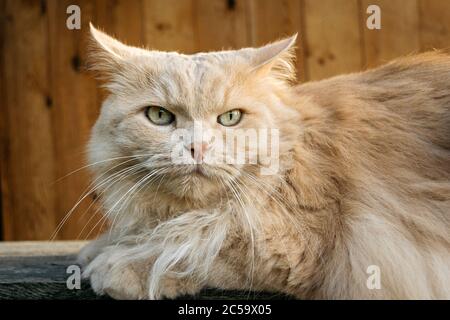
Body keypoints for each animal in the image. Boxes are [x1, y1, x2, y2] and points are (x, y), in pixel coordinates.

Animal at [79, 23, 450, 300]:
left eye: (230, 118)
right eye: (159, 116)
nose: (197, 146)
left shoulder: (300, 248)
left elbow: (197, 246)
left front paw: (119, 266)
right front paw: (99, 249)